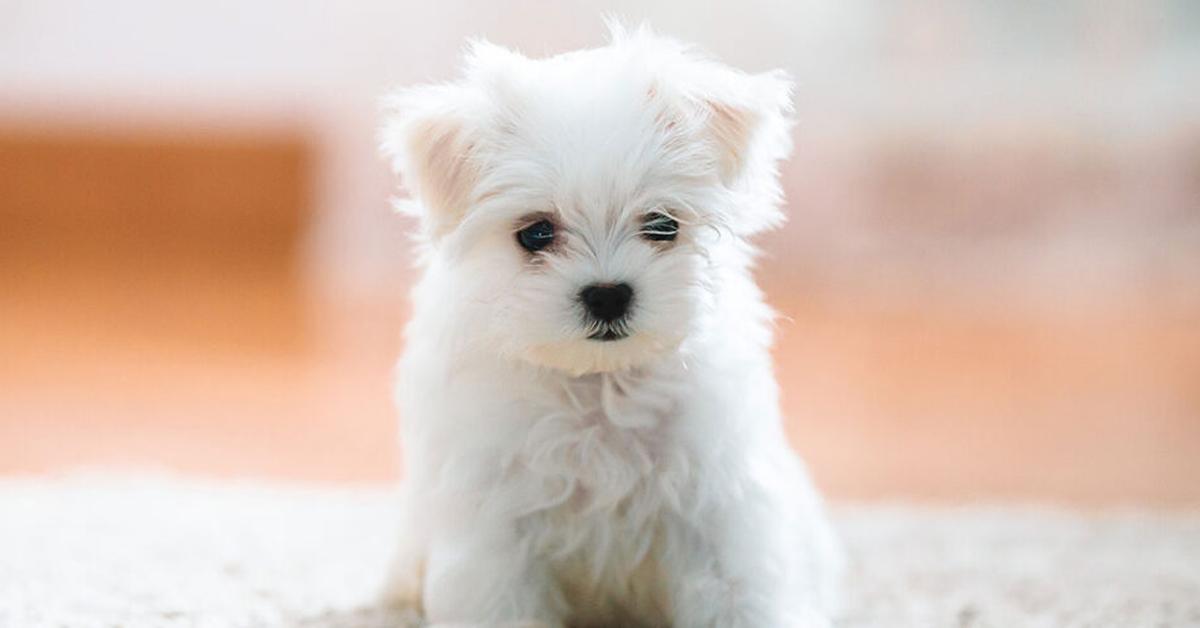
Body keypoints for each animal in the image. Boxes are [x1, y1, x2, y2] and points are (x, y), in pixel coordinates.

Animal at [379, 22, 840, 624]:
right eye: (535, 233)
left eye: (663, 225)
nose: (607, 295)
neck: (600, 386)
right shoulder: (496, 527)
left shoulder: (716, 509)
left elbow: (739, 595)